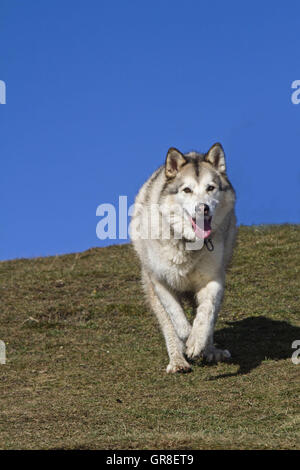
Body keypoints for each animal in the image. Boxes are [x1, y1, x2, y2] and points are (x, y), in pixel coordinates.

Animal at [131, 143, 237, 374]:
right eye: (186, 190)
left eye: (210, 188)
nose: (203, 208)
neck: (188, 244)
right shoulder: (160, 281)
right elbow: (176, 316)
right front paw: (186, 337)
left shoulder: (214, 280)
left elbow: (205, 315)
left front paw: (197, 342)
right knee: (168, 325)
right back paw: (178, 361)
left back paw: (209, 350)